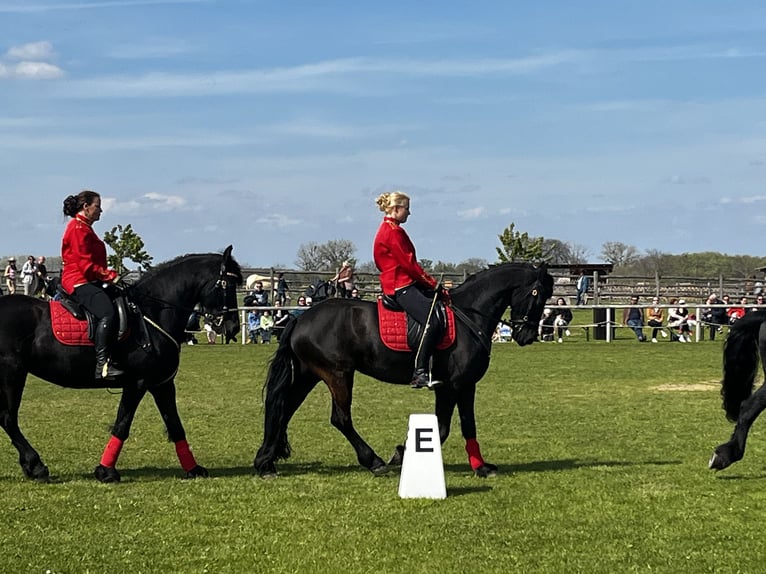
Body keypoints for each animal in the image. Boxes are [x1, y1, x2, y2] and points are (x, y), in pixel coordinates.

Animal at [0, 246, 243, 482]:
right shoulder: (137, 384)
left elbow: (175, 426)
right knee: (8, 418)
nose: (232, 328)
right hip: (13, 374)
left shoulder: (162, 384)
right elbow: (122, 425)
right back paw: (36, 466)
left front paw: (193, 469)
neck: (151, 314)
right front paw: (106, 471)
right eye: (228, 284)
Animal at [254, 262, 553, 478]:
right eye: (538, 294)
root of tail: (301, 318)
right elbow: (442, 428)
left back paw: (265, 462)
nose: (527, 335)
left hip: (309, 374)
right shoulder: (451, 386)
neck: (469, 316)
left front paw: (481, 466)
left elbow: (469, 425)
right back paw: (373, 461)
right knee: (340, 418)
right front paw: (403, 453)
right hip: (337, 374)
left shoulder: (467, 385)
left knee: (283, 409)